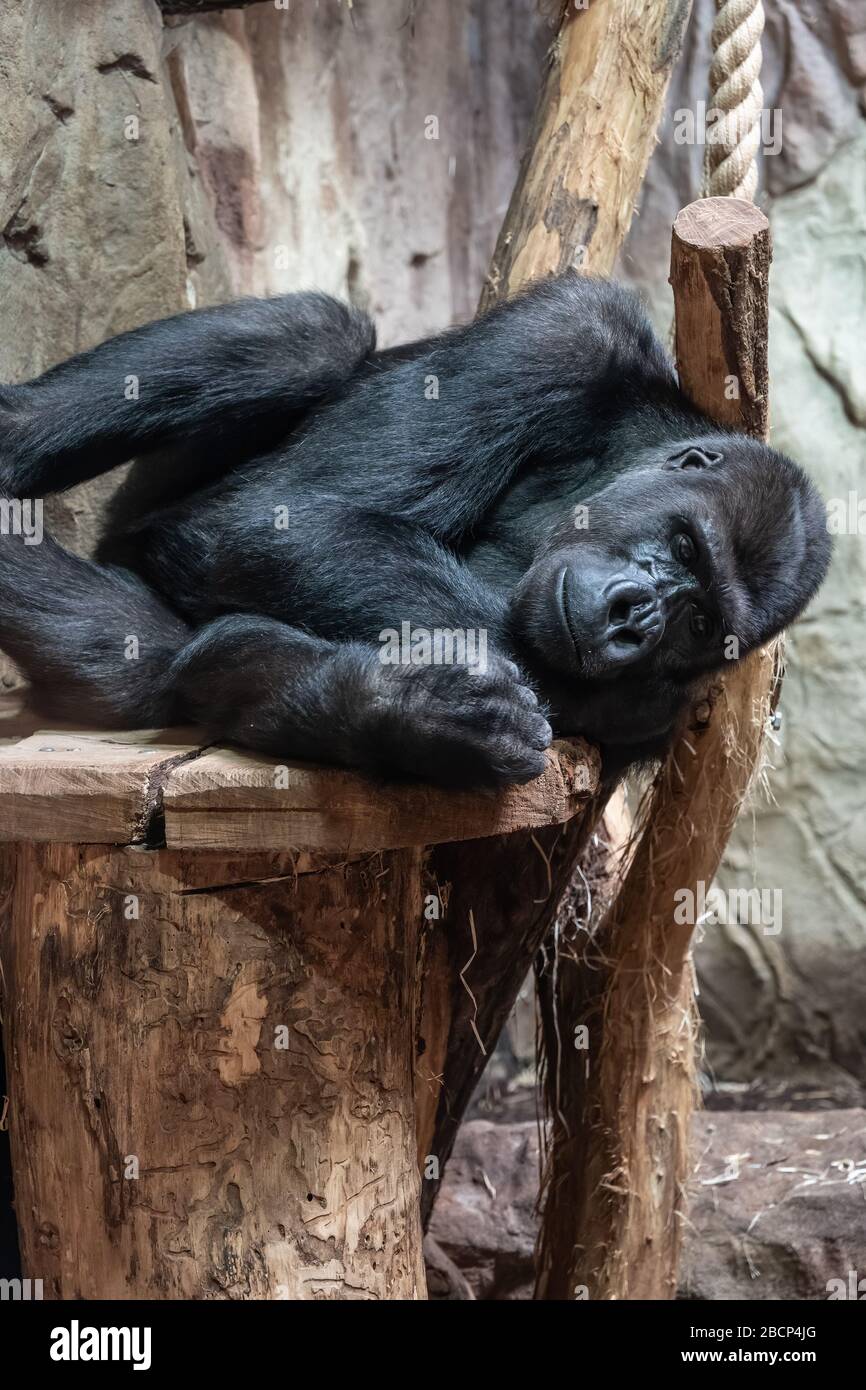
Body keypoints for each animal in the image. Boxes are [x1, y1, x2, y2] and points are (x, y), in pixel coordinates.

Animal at [0, 276, 828, 789]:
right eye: (684, 547)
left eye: (698, 621)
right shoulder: (567, 334)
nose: (636, 617)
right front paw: (415, 708)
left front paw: (392, 711)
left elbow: (222, 659)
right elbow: (288, 521)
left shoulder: (662, 717)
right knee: (316, 336)